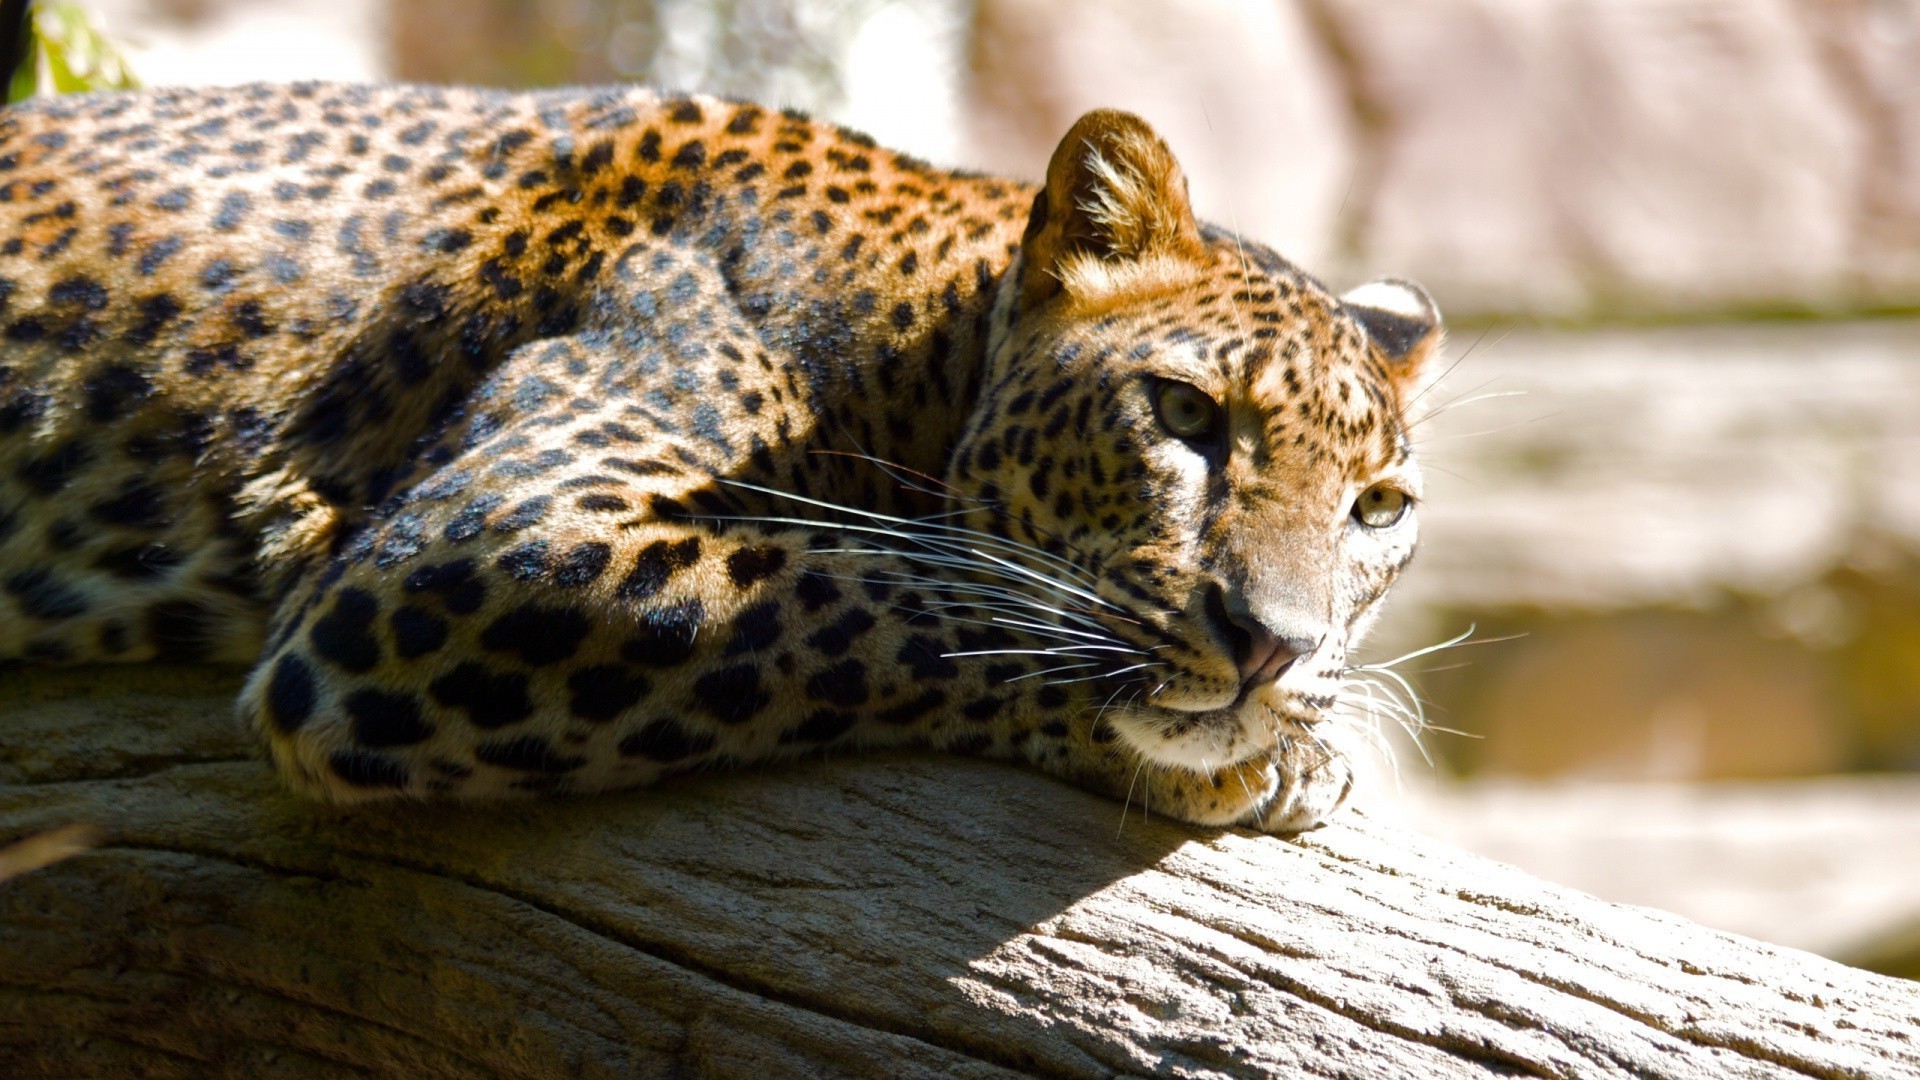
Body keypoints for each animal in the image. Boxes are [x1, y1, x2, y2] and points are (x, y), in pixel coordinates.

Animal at [0, 82, 1442, 833]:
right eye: (1186, 415)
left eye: (1378, 509)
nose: (1275, 649)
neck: (910, 345)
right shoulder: (474, 548)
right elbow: (872, 594)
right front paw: (1267, 754)